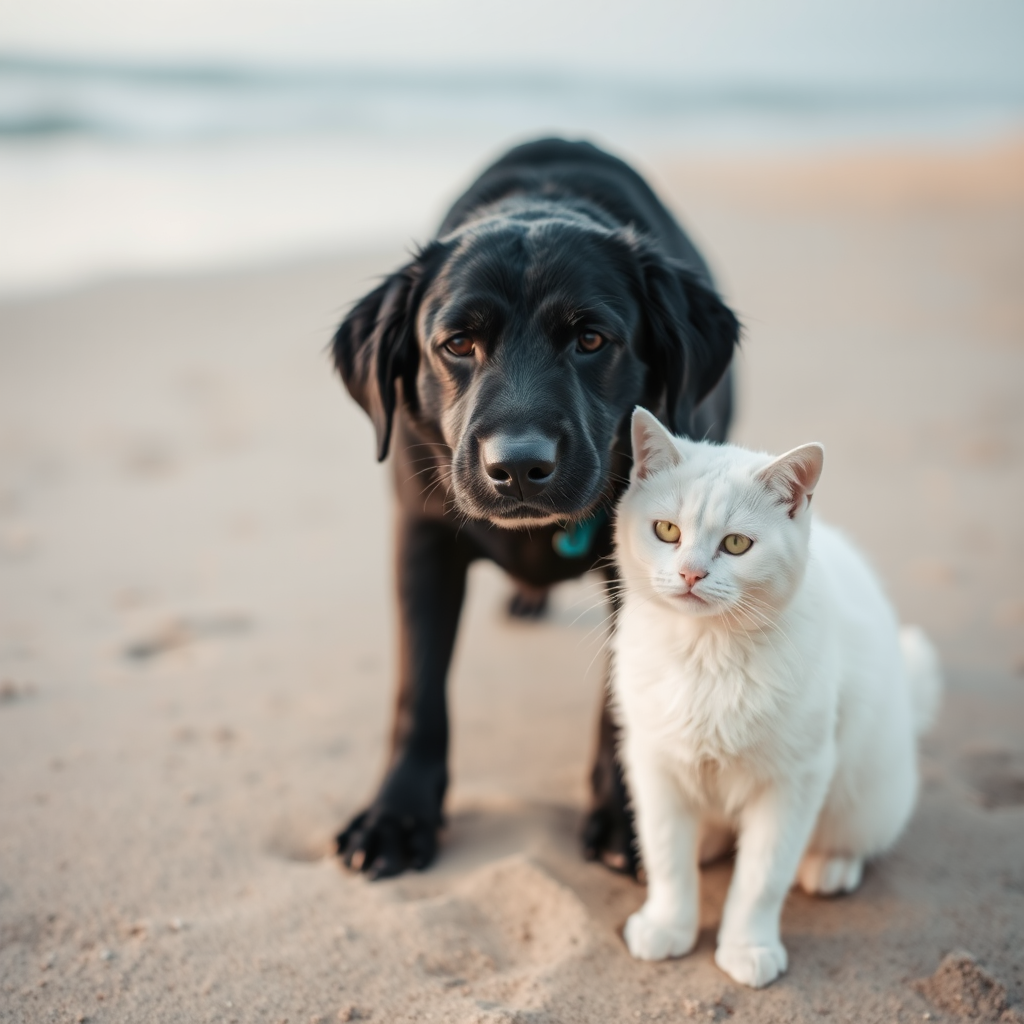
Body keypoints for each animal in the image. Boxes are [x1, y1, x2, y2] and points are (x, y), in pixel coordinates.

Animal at [331, 138, 741, 880]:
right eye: (457, 343)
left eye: (591, 339)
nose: (518, 466)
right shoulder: (421, 539)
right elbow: (419, 692)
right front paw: (397, 815)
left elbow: (622, 701)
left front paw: (632, 821)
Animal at [610, 409, 937, 991]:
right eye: (667, 531)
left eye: (737, 545)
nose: (691, 573)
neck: (707, 655)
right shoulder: (654, 763)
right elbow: (669, 855)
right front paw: (668, 924)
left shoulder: (794, 780)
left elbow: (762, 876)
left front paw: (747, 947)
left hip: (866, 795)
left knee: (850, 838)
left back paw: (831, 866)